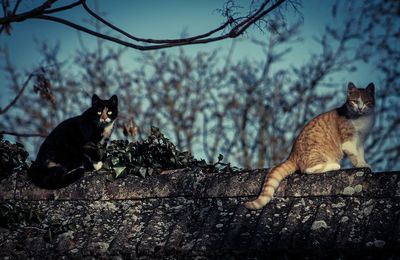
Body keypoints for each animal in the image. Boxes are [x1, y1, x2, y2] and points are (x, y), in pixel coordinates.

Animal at [244, 82, 376, 210]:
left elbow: (360, 154)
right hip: (318, 153)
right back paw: (334, 165)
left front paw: (364, 164)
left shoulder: (360, 141)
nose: (360, 108)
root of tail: (292, 154)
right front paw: (360, 165)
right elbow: (355, 155)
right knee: (309, 169)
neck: (361, 119)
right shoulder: (348, 141)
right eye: (354, 101)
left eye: (366, 102)